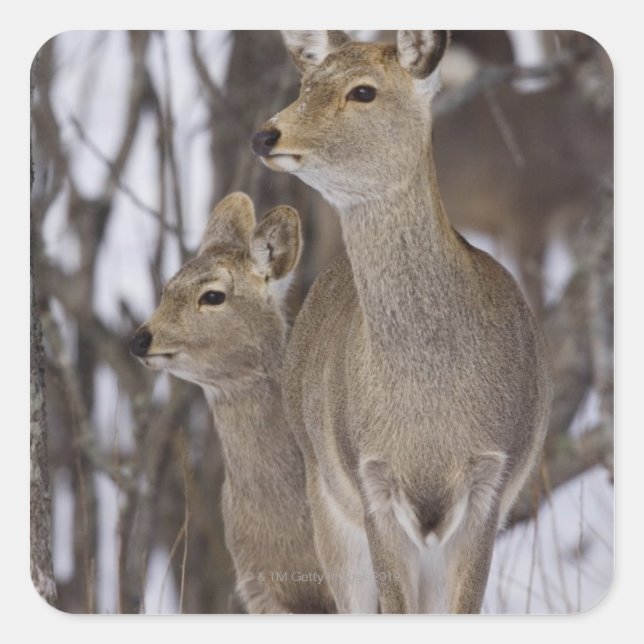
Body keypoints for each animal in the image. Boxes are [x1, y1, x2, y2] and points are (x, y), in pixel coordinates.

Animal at [251, 31, 552, 613]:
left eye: (364, 91)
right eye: (305, 83)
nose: (266, 134)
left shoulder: (492, 480)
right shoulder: (371, 481)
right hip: (327, 502)